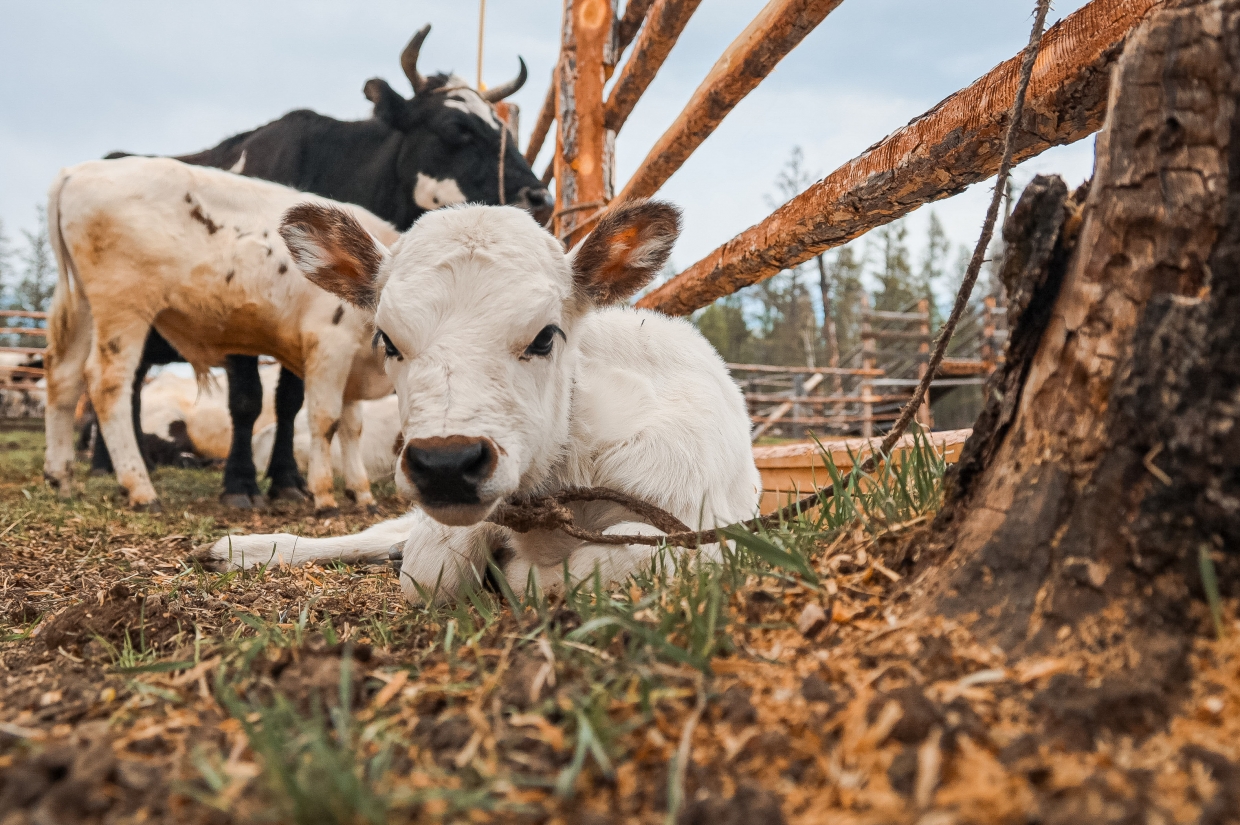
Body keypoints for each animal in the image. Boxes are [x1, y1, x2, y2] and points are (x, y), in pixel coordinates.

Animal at [44, 157, 396, 511]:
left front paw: (361, 492)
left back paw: (61, 477)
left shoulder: (352, 365)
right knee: (108, 383)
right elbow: (326, 420)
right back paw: (140, 488)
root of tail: (78, 171)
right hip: (123, 305)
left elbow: (352, 426)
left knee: (64, 377)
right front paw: (324, 496)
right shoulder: (329, 343)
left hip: (84, 307)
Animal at [97, 27, 558, 508]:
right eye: (457, 128)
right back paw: (107, 466)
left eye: (504, 131)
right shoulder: (242, 314)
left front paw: (287, 480)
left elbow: (289, 400)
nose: (540, 198)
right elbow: (248, 399)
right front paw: (241, 484)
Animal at [200, 199, 763, 597]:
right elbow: (430, 572)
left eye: (545, 336)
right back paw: (241, 548)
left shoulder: (715, 537)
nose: (446, 463)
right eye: (387, 340)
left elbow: (603, 563)